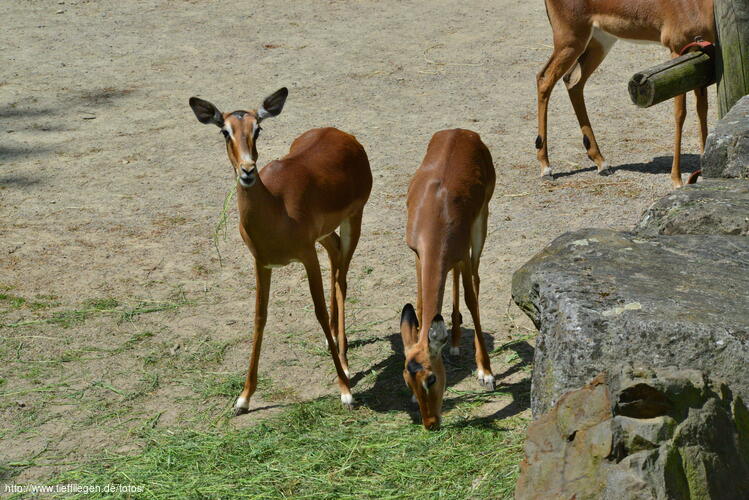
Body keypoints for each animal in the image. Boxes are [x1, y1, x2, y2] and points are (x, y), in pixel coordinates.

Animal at [190, 88, 372, 412]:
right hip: (325, 234)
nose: (247, 170)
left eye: (258, 129)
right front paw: (243, 398)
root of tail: (342, 134)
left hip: (354, 220)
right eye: (225, 131)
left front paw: (346, 392)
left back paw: (345, 362)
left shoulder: (307, 257)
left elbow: (318, 311)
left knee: (342, 279)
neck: (276, 208)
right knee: (335, 253)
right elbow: (259, 318)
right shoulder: (262, 263)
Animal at [400, 129, 494, 430]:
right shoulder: (418, 256)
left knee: (475, 279)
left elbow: (471, 299)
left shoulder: (462, 252)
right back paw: (452, 342)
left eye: (431, 378)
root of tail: (462, 131)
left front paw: (486, 373)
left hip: (481, 225)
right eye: (408, 382)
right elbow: (420, 307)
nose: (430, 423)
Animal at [536, 0, 716, 187]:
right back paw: (546, 168)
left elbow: (702, 110)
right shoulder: (677, 49)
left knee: (573, 82)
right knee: (544, 79)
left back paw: (601, 163)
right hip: (570, 40)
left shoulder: (703, 55)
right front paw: (677, 179)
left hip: (600, 41)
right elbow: (680, 114)